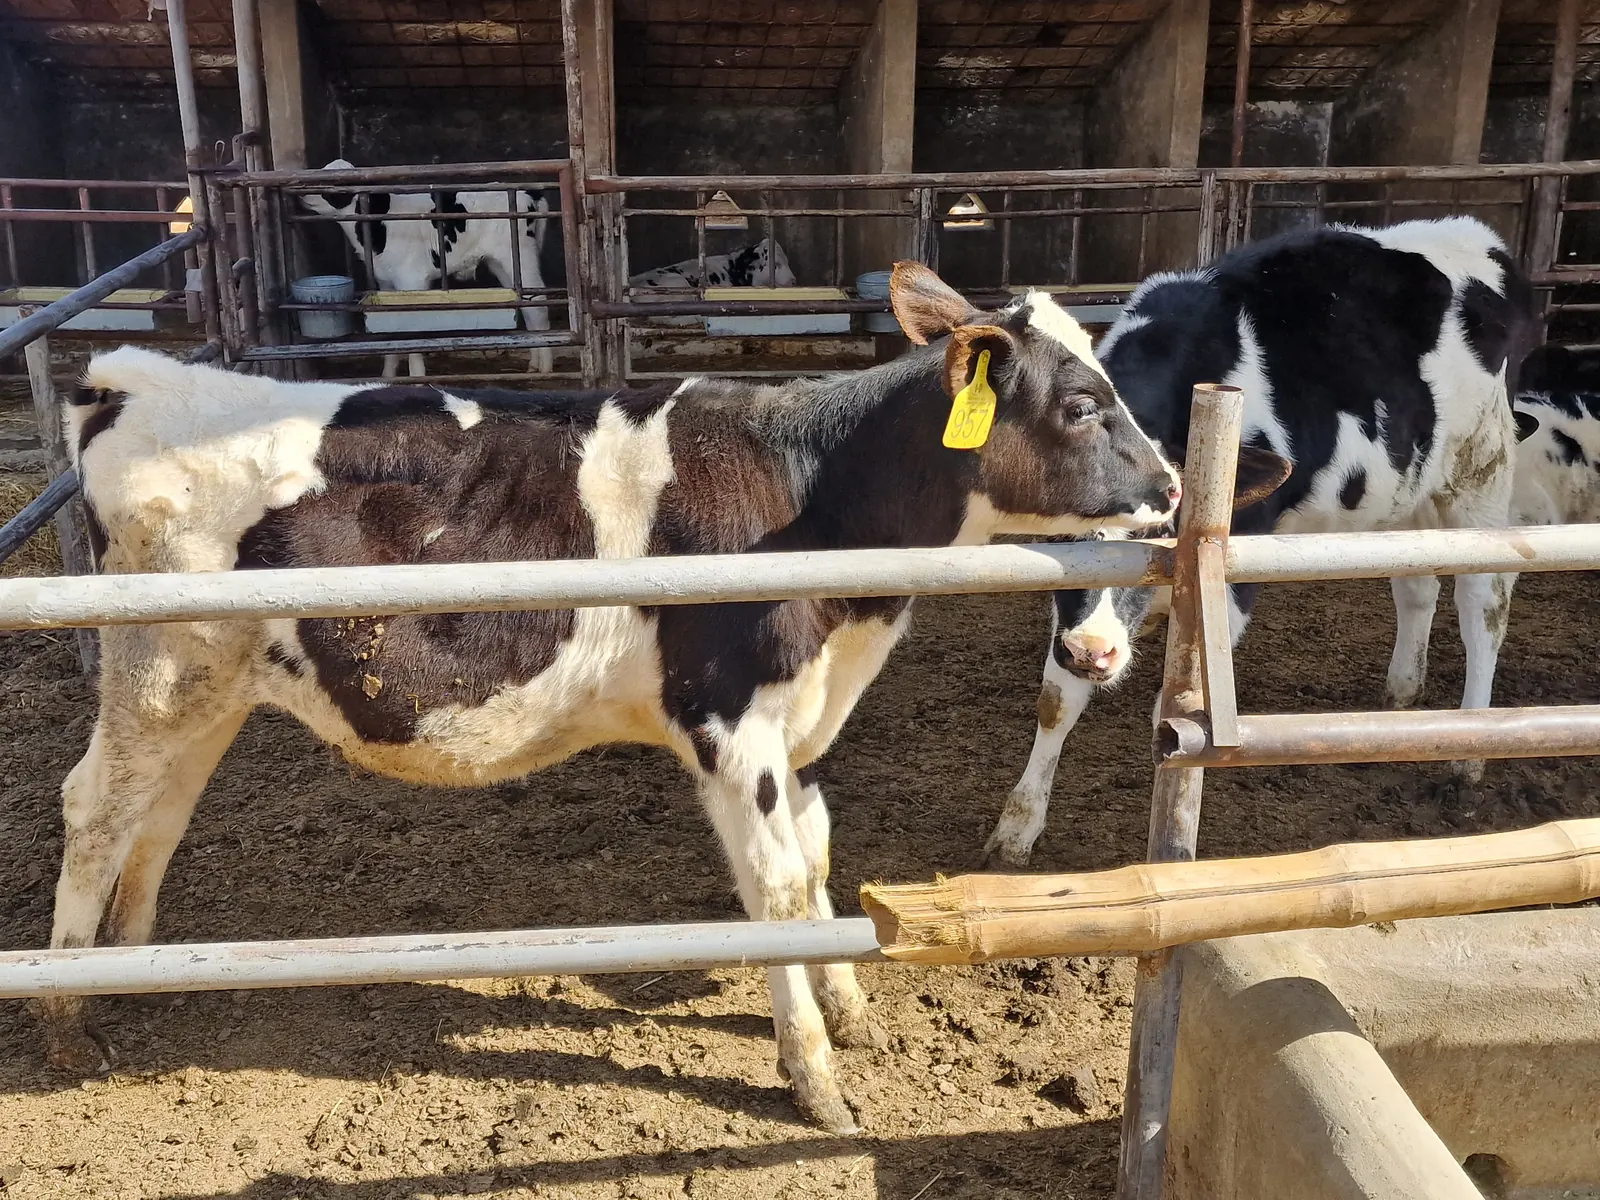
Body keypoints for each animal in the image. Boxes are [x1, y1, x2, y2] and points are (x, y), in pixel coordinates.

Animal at [44, 262, 1224, 1134]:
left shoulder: (798, 723)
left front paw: (850, 1010)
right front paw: (818, 1079)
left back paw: (138, 964)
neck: (815, 506)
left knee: (164, 808)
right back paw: (68, 1012)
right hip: (159, 668)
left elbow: (818, 855)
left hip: (213, 680)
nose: (1172, 487)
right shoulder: (727, 723)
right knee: (95, 804)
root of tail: (134, 378)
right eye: (1082, 403)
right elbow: (776, 890)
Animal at [299, 159, 557, 378]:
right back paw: (534, 364)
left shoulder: (411, 281)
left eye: (334, 182)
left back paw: (545, 367)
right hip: (502, 263)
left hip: (521, 256)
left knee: (538, 303)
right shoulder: (385, 283)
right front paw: (388, 376)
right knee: (526, 303)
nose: (301, 191)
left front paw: (417, 377)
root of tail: (528, 193)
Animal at [983, 216, 1539, 869]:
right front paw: (1016, 829)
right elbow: (1055, 698)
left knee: (1485, 603)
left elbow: (1172, 717)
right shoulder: (1073, 611)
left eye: (1160, 527)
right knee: (1417, 584)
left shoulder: (1229, 578)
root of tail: (1476, 235)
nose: (1092, 653)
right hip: (1408, 491)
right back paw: (1403, 695)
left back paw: (1469, 750)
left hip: (1482, 470)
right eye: (1064, 535)